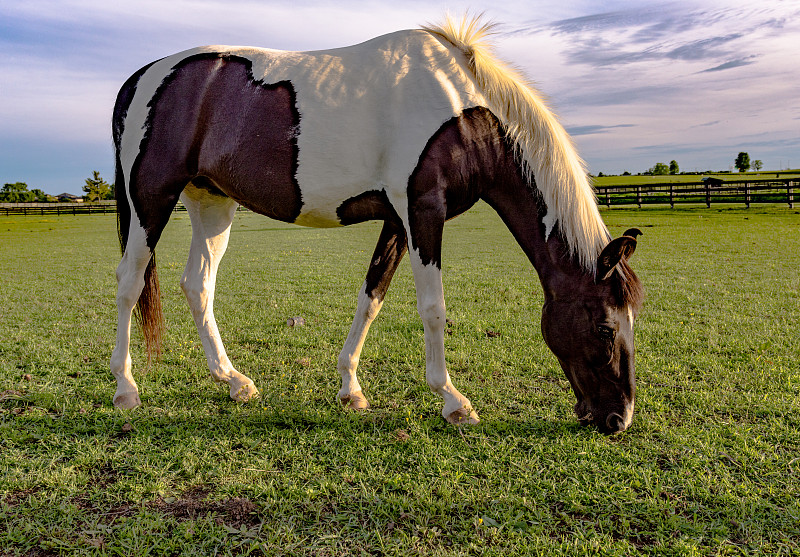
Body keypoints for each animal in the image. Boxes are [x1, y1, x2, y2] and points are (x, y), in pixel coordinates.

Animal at [111, 16, 644, 434]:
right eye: (604, 327)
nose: (618, 419)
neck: (462, 112)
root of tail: (142, 77)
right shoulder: (423, 211)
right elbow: (433, 308)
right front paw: (453, 401)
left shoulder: (397, 221)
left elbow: (372, 298)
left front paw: (350, 389)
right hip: (151, 199)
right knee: (129, 283)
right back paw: (125, 389)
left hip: (212, 203)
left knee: (197, 285)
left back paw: (233, 381)